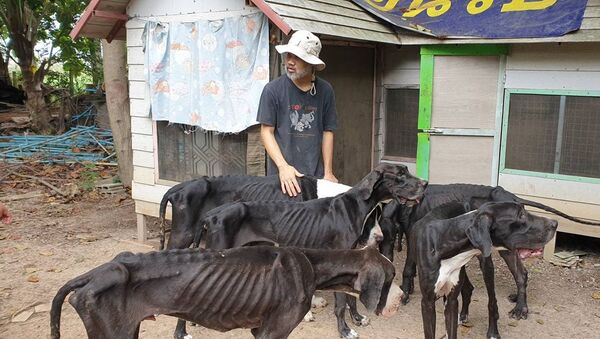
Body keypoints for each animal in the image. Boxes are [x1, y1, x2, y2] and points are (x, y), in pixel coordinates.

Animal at [50, 247, 404, 339]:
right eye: (390, 277)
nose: (402, 299)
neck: (312, 264)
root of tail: (94, 274)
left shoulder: (259, 329)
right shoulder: (273, 334)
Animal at [188, 163, 426, 338]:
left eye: (407, 170)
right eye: (400, 174)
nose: (425, 183)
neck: (355, 205)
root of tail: (210, 215)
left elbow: (350, 298)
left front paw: (357, 318)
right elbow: (341, 303)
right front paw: (345, 330)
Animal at [412, 202, 556, 339]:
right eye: (521, 215)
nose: (555, 223)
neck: (444, 243)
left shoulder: (451, 301)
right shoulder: (428, 302)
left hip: (486, 265)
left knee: (492, 301)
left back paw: (493, 331)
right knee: (468, 288)